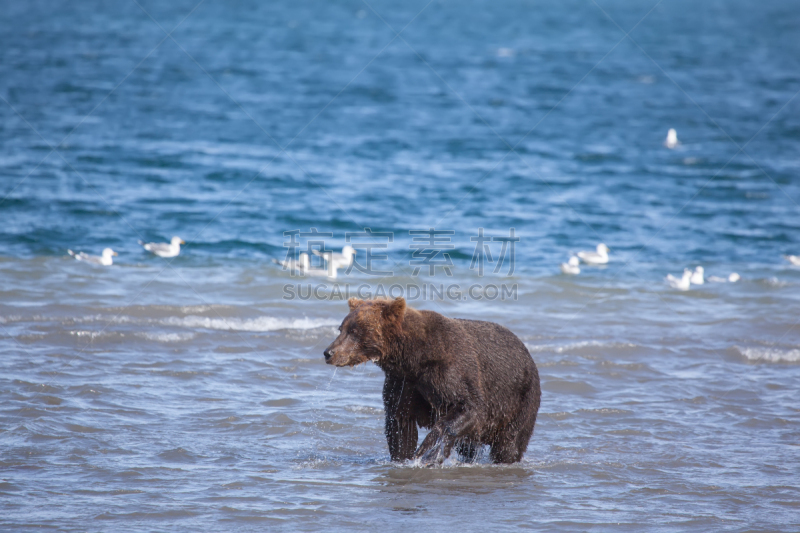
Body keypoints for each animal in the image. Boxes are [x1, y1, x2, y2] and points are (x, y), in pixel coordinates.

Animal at [322, 298, 540, 464]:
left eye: (355, 331)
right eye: (341, 328)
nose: (328, 352)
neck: (412, 359)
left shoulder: (450, 370)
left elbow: (469, 407)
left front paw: (427, 453)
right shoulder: (402, 384)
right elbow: (400, 427)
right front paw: (404, 457)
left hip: (520, 401)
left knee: (509, 444)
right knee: (470, 448)